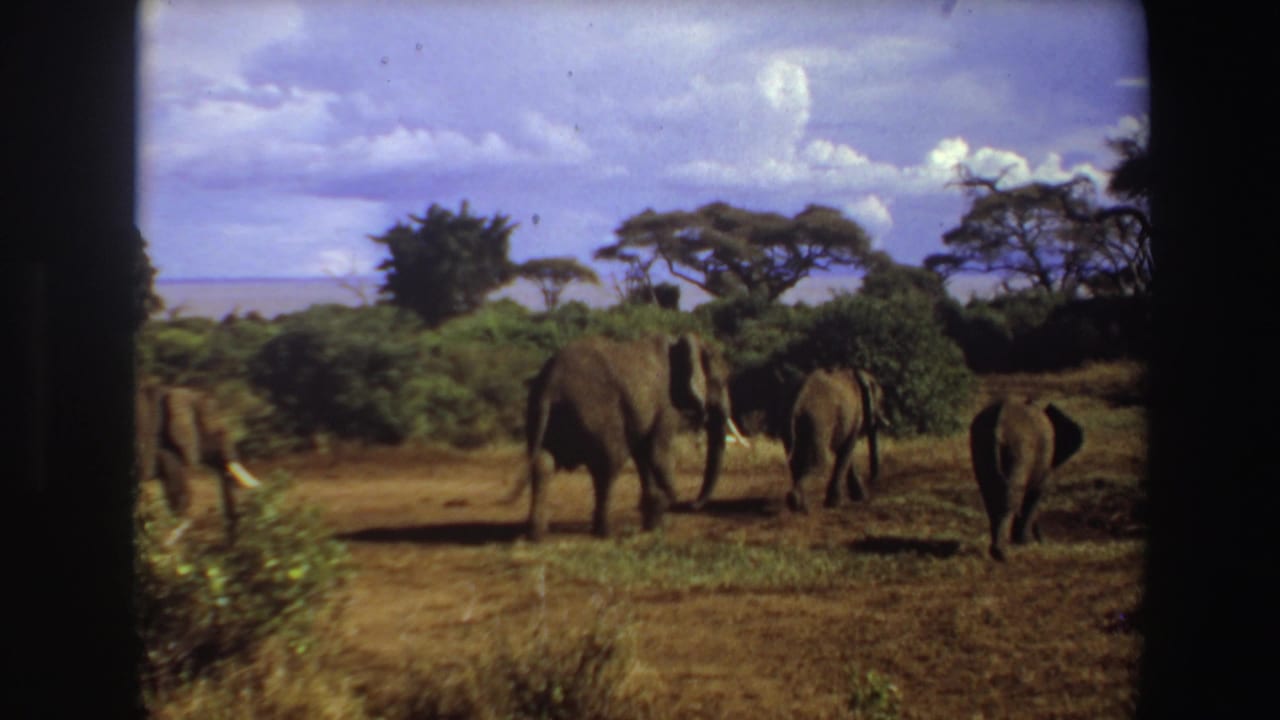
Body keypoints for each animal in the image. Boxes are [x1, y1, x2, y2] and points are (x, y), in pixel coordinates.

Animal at [521, 332, 748, 540]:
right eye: (721, 382)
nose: (692, 505)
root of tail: (551, 385)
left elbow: (643, 456)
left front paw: (653, 523)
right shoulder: (666, 406)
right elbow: (656, 454)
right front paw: (659, 511)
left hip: (539, 412)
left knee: (543, 465)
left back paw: (538, 536)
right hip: (595, 411)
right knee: (609, 464)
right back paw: (606, 533)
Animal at [783, 368, 889, 513]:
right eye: (881, 402)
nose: (872, 480)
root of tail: (797, 401)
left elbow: (844, 452)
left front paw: (859, 497)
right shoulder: (856, 414)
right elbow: (847, 450)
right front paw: (836, 504)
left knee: (795, 461)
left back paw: (799, 505)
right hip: (819, 420)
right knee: (819, 463)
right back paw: (800, 505)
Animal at [969, 397, 1084, 561]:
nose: (1043, 541)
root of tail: (998, 426)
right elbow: (1036, 492)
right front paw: (1025, 542)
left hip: (980, 444)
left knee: (991, 492)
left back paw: (997, 550)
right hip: (1020, 449)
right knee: (1010, 493)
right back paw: (1001, 553)